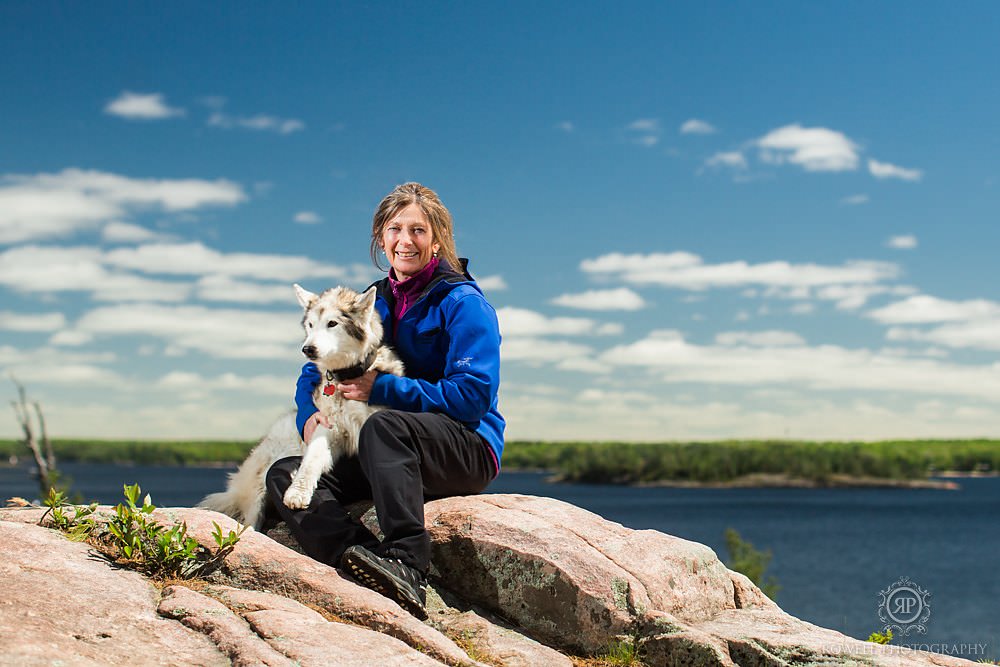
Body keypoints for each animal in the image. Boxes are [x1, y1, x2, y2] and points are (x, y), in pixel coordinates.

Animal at [201, 284, 404, 528]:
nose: (308, 349)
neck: (344, 376)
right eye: (310, 325)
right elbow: (311, 460)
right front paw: (297, 493)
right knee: (251, 524)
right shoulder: (326, 426)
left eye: (332, 323)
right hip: (257, 494)